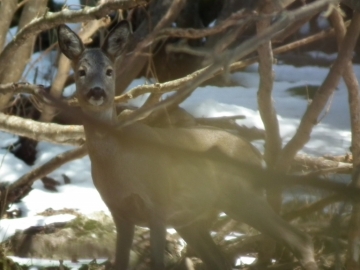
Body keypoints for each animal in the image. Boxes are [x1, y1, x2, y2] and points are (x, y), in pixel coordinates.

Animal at [57, 21, 318, 270]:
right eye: (81, 71)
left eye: (109, 71)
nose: (97, 92)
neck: (118, 160)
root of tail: (256, 154)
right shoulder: (120, 213)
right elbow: (120, 263)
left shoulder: (158, 204)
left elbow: (158, 264)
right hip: (194, 218)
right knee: (220, 261)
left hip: (242, 195)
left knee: (300, 239)